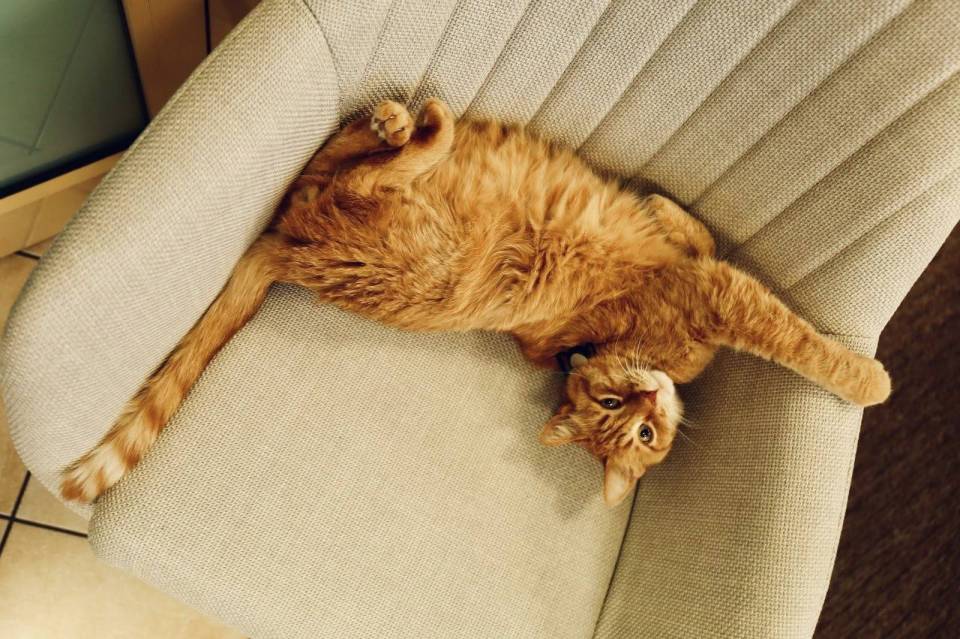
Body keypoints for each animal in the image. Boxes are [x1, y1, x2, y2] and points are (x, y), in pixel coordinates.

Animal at [60, 98, 891, 507]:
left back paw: (397, 118)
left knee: (335, 155)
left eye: (645, 434)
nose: (649, 401)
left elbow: (696, 231)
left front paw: (668, 210)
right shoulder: (718, 295)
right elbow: (797, 340)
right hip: (412, 242)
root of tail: (288, 250)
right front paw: (868, 380)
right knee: (359, 168)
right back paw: (421, 122)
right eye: (621, 418)